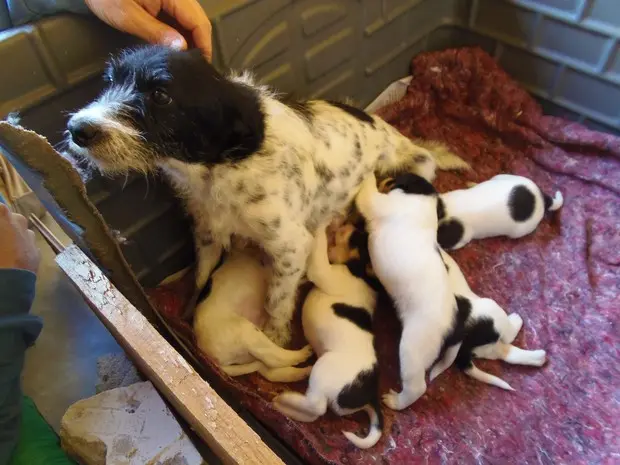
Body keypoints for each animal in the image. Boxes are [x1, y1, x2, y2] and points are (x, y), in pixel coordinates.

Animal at [64, 45, 470, 346]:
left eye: (160, 96)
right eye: (110, 81)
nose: (77, 129)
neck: (220, 165)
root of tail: (395, 133)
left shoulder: (290, 246)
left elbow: (276, 300)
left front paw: (275, 337)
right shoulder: (207, 232)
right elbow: (200, 276)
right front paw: (188, 311)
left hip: (415, 167)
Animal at [194, 246, 312, 380]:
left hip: (250, 356)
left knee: (272, 371)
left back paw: (306, 371)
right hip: (247, 331)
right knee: (276, 359)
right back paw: (305, 353)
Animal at [272, 227, 382, 448]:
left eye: (356, 235)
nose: (350, 224)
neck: (360, 273)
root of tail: (370, 395)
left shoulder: (326, 274)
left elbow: (320, 255)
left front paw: (322, 228)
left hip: (324, 369)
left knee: (317, 407)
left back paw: (285, 399)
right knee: (314, 414)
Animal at [354, 173, 464, 410]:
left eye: (392, 179)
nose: (385, 177)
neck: (424, 202)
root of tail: (455, 328)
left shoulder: (379, 203)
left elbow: (368, 192)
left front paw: (369, 174)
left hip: (412, 348)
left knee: (417, 387)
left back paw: (395, 401)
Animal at [432, 250, 548, 388]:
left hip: (484, 347)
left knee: (505, 353)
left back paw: (539, 358)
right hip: (491, 309)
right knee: (508, 338)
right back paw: (517, 320)